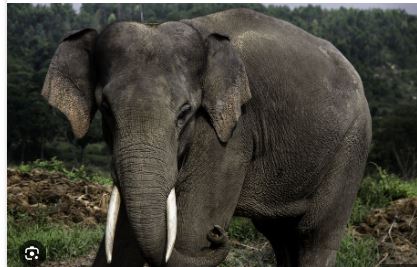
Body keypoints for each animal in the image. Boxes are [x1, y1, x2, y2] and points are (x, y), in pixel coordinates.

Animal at [41, 8, 370, 267]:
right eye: (106, 109)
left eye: (185, 112)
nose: (218, 233)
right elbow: (124, 236)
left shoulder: (232, 133)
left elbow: (190, 237)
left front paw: (202, 235)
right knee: (281, 235)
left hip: (351, 147)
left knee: (314, 234)